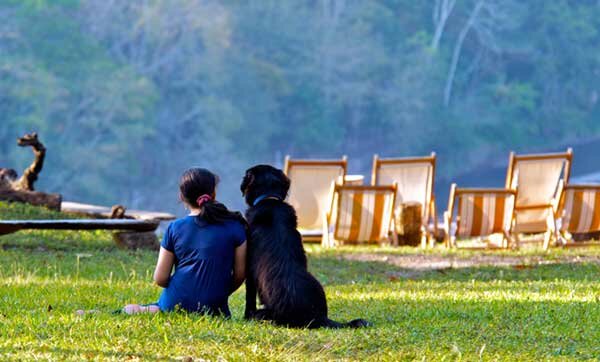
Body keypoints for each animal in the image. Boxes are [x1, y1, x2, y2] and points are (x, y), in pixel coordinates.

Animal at [239, 165, 370, 330]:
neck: (269, 200)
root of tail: (318, 317)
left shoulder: (250, 271)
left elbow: (249, 297)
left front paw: (245, 317)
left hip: (264, 314)